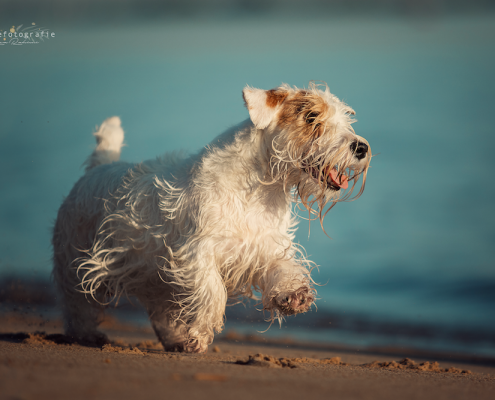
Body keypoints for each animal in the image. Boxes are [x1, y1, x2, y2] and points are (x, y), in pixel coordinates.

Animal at [54, 82, 372, 354]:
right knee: (78, 303)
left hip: (154, 279)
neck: (260, 189)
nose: (362, 148)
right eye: (311, 117)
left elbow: (282, 268)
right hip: (75, 260)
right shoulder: (196, 252)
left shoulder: (265, 245)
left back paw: (177, 340)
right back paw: (87, 335)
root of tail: (97, 168)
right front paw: (201, 333)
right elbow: (212, 290)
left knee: (160, 313)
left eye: (346, 119)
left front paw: (294, 295)